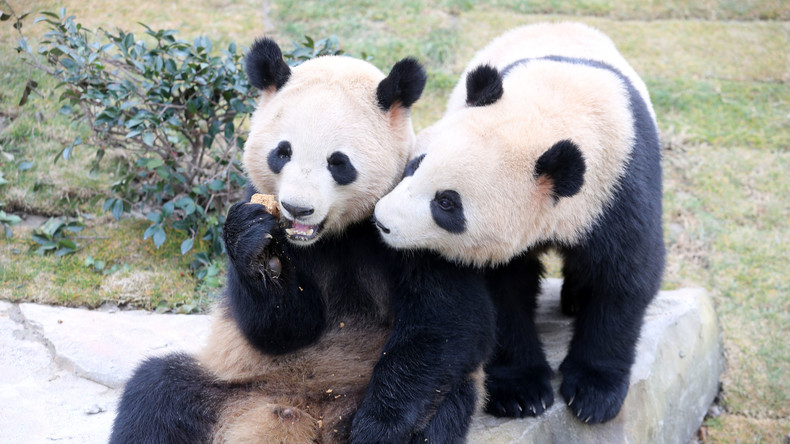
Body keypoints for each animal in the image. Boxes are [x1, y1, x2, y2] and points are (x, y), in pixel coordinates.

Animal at [111, 38, 496, 444]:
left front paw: (378, 428)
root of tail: (295, 412)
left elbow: (446, 320)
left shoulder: (416, 219)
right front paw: (259, 252)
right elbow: (282, 329)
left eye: (338, 162)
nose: (297, 208)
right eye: (282, 152)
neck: (333, 234)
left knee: (440, 410)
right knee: (158, 393)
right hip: (233, 381)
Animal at [374, 22, 664, 424]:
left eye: (446, 203)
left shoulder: (619, 187)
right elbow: (502, 295)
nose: (382, 222)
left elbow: (623, 280)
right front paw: (522, 392)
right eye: (414, 165)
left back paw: (575, 299)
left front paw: (593, 394)